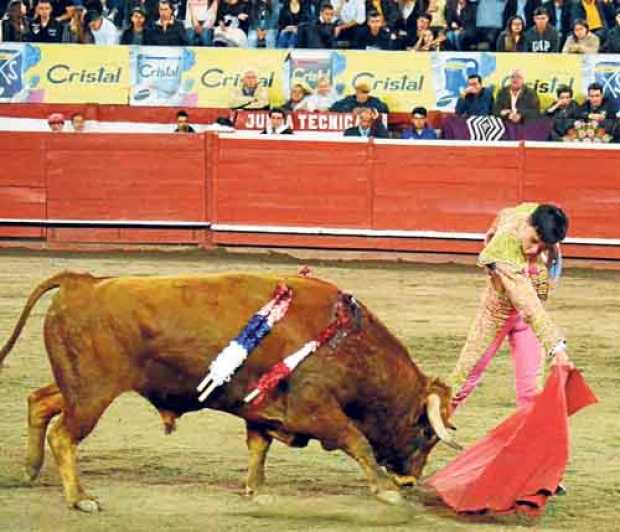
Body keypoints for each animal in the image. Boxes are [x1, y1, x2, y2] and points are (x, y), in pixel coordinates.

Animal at [0, 272, 456, 510]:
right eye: (426, 433)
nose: (410, 482)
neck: (346, 338)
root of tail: (81, 281)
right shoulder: (315, 410)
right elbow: (357, 440)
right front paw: (383, 490)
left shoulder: (262, 410)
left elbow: (258, 447)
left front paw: (256, 491)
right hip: (92, 394)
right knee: (64, 435)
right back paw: (80, 499)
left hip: (78, 387)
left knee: (40, 401)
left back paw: (29, 469)